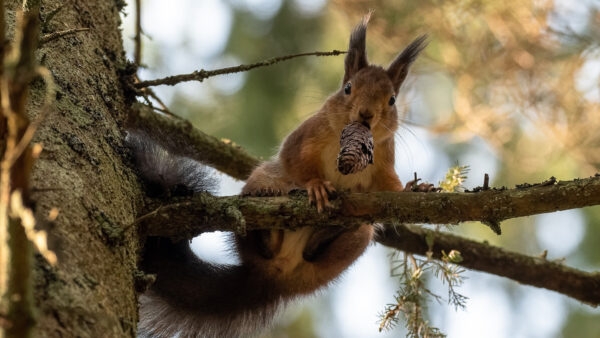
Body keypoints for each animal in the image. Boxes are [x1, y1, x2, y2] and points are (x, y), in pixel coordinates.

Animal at [131, 15, 432, 338]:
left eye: (392, 100)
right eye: (348, 88)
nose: (366, 114)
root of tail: (276, 280)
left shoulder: (384, 162)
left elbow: (390, 186)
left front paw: (414, 189)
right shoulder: (304, 137)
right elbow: (295, 161)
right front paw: (316, 186)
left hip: (359, 237)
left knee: (322, 248)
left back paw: (328, 233)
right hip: (260, 187)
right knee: (259, 239)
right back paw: (266, 223)